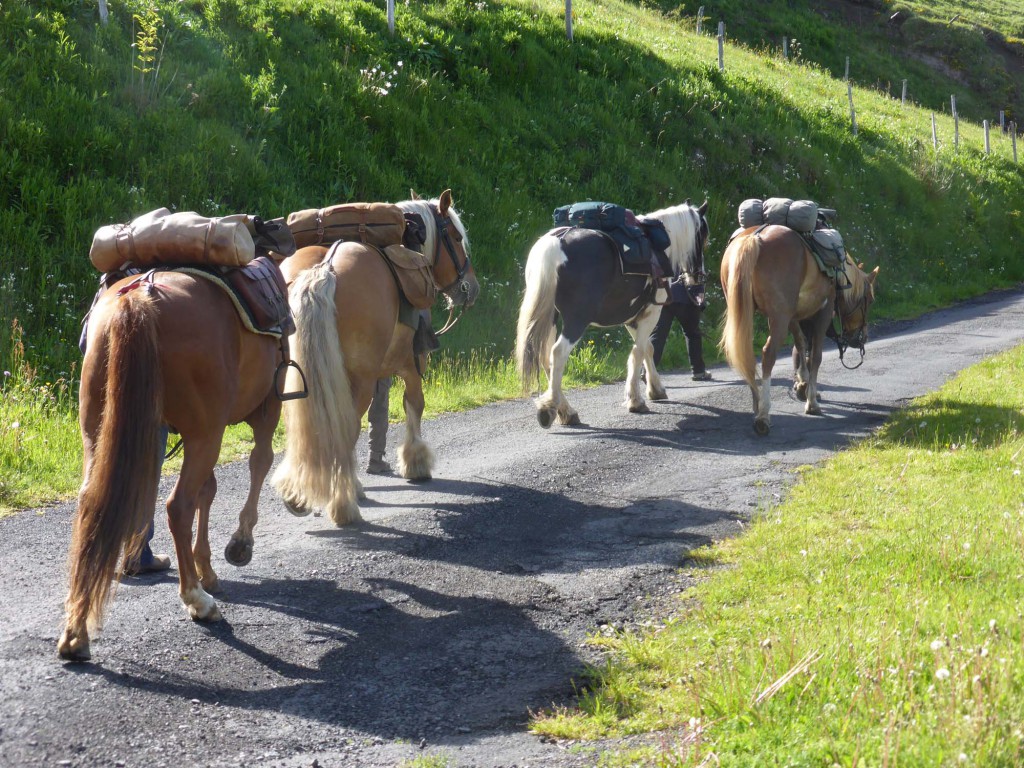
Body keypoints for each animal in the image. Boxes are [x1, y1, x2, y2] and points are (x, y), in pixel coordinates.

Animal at [58, 272, 286, 663]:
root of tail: (136, 299)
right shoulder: (264, 408)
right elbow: (259, 463)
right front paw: (239, 545)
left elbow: (209, 491)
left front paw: (207, 566)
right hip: (204, 435)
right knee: (178, 506)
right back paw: (197, 600)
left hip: (99, 431)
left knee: (92, 504)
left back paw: (76, 632)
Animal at [272, 191, 479, 528]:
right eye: (457, 237)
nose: (470, 288)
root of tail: (322, 272)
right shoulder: (412, 362)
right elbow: (413, 404)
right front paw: (416, 461)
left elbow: (379, 416)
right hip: (359, 381)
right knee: (346, 429)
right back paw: (344, 503)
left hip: (296, 379)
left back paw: (300, 494)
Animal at [516, 199, 708, 428]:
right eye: (703, 237)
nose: (698, 278)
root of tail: (556, 243)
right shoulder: (651, 313)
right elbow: (639, 351)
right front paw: (636, 401)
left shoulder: (632, 318)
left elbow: (648, 348)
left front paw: (656, 390)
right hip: (576, 319)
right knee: (557, 353)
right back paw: (550, 408)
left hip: (551, 318)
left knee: (546, 358)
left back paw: (566, 411)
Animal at [720, 225, 880, 436]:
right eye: (869, 300)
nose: (861, 338)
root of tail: (754, 238)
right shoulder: (823, 313)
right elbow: (815, 355)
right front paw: (811, 402)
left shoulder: (793, 316)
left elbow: (801, 344)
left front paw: (802, 382)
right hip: (779, 317)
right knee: (768, 354)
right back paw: (763, 414)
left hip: (747, 312)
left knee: (747, 355)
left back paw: (757, 403)